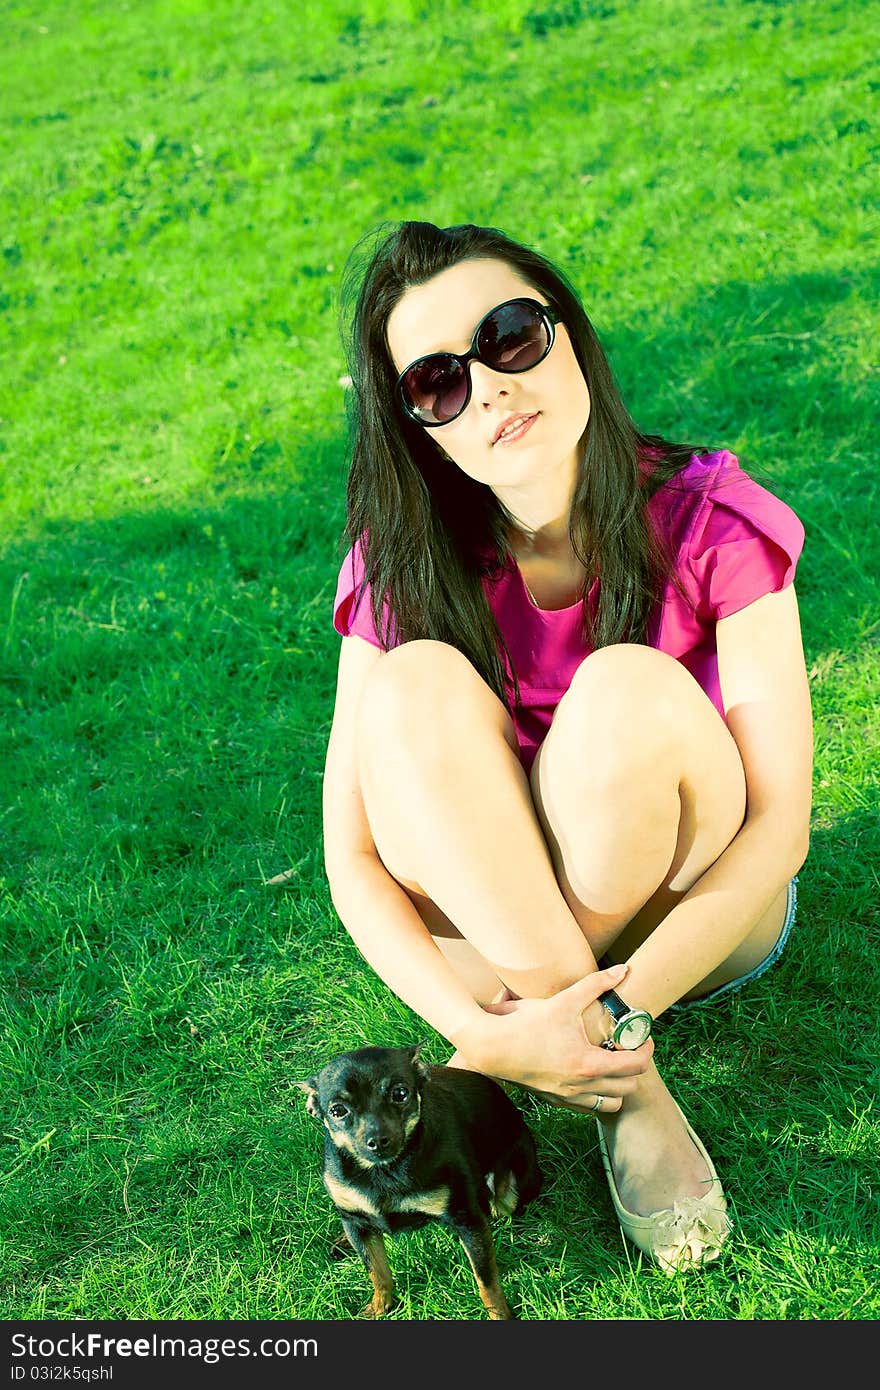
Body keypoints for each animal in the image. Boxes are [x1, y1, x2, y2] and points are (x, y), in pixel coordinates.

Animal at [298, 1045, 539, 1317]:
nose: (377, 1140)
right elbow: (376, 1272)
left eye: (400, 1093)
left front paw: (500, 1315)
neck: (383, 1171)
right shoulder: (354, 1220)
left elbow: (486, 1282)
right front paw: (379, 1307)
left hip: (508, 1193)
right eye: (337, 1111)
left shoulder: (466, 1219)